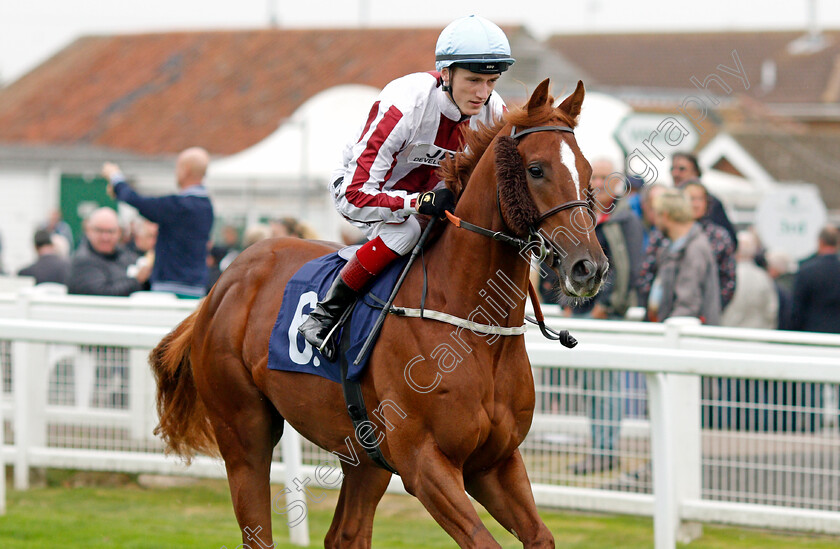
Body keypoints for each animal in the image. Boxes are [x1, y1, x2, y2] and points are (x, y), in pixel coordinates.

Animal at [151, 78, 608, 548]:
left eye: (588, 170)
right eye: (536, 169)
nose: (588, 267)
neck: (474, 329)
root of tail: (223, 284)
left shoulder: (494, 462)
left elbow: (540, 536)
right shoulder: (424, 463)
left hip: (363, 453)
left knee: (345, 535)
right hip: (244, 431)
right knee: (257, 526)